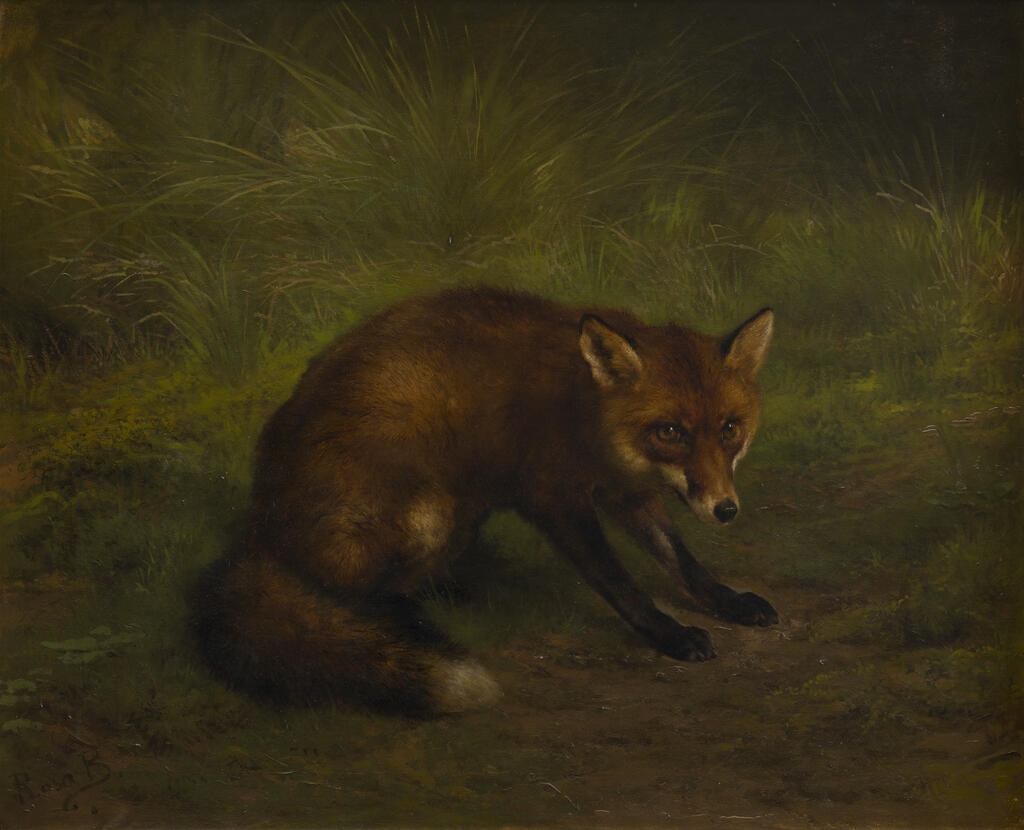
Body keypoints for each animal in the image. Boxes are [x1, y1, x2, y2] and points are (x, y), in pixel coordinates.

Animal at [193, 286, 777, 717]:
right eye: (671, 432)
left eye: (729, 430)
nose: (726, 510)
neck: (586, 411)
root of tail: (258, 529)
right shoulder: (554, 498)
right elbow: (622, 585)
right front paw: (670, 635)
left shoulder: (626, 492)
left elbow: (683, 562)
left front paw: (729, 602)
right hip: (427, 509)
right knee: (353, 593)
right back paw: (409, 623)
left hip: (461, 514)